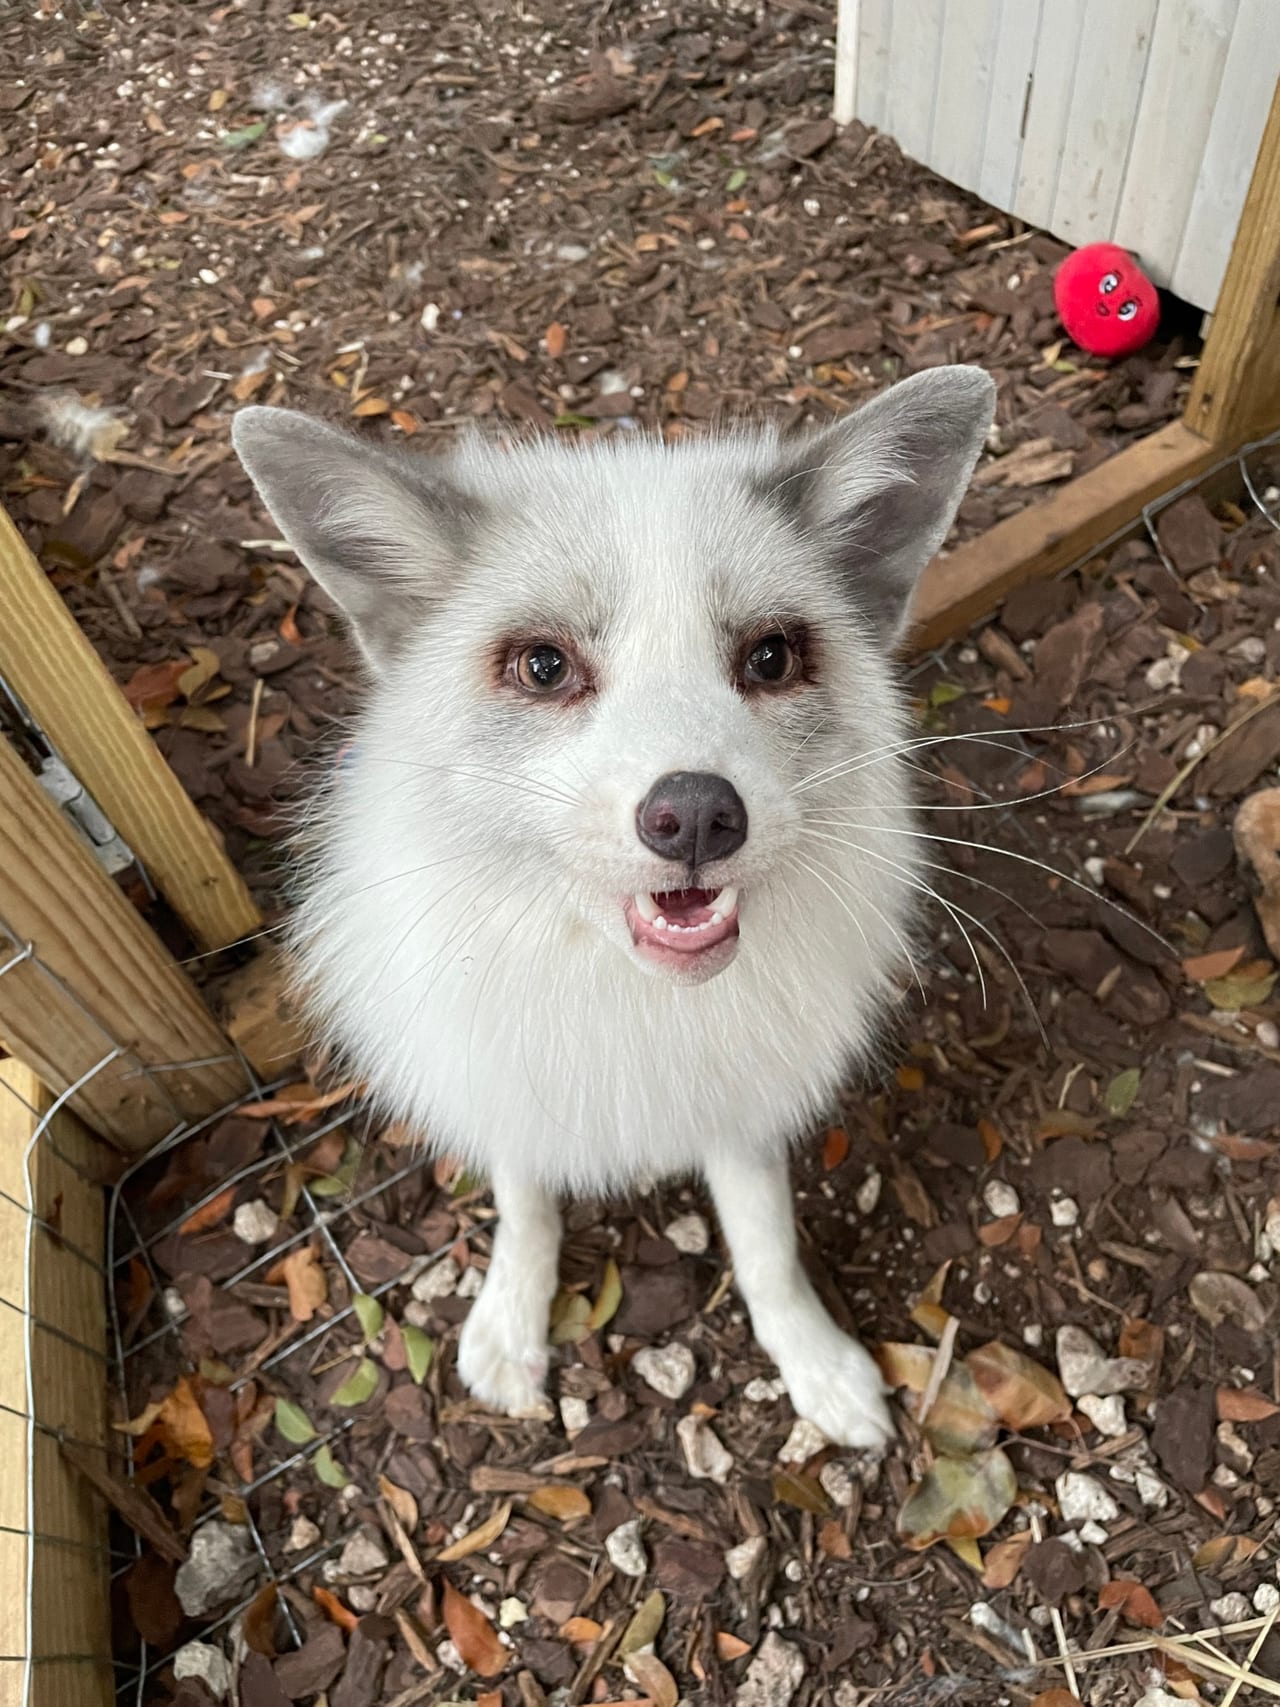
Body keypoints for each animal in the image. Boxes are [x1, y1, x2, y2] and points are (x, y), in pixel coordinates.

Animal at [232, 363, 995, 1448]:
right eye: (543, 666)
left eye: (770, 657)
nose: (695, 816)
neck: (634, 1003)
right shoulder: (510, 1090)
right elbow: (526, 1210)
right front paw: (510, 1323)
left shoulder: (740, 1107)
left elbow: (766, 1246)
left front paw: (816, 1364)